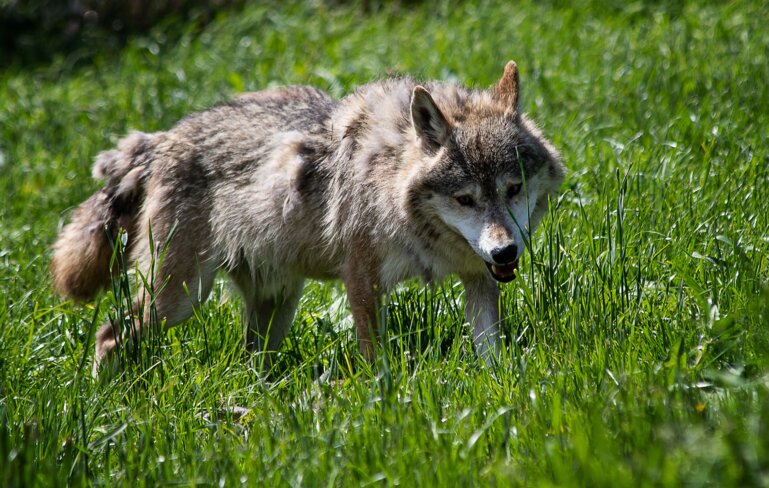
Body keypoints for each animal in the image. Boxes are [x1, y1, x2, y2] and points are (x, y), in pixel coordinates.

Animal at [51, 61, 564, 375]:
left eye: (513, 189)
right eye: (464, 199)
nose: (505, 251)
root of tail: (160, 140)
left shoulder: (478, 277)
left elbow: (490, 351)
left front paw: (499, 389)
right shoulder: (361, 279)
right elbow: (374, 358)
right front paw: (385, 403)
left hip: (277, 302)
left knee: (250, 361)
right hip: (181, 299)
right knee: (108, 336)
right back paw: (104, 401)